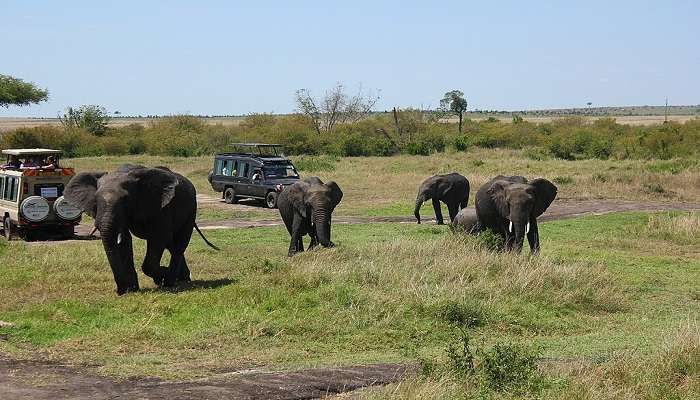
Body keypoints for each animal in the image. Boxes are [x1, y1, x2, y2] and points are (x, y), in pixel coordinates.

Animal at [66, 163, 220, 294]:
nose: (120, 291)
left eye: (126, 199)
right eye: (96, 199)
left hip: (190, 210)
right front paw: (132, 289)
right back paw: (183, 278)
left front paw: (161, 277)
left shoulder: (160, 206)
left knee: (177, 246)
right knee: (172, 246)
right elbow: (124, 240)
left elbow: (158, 238)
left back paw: (170, 281)